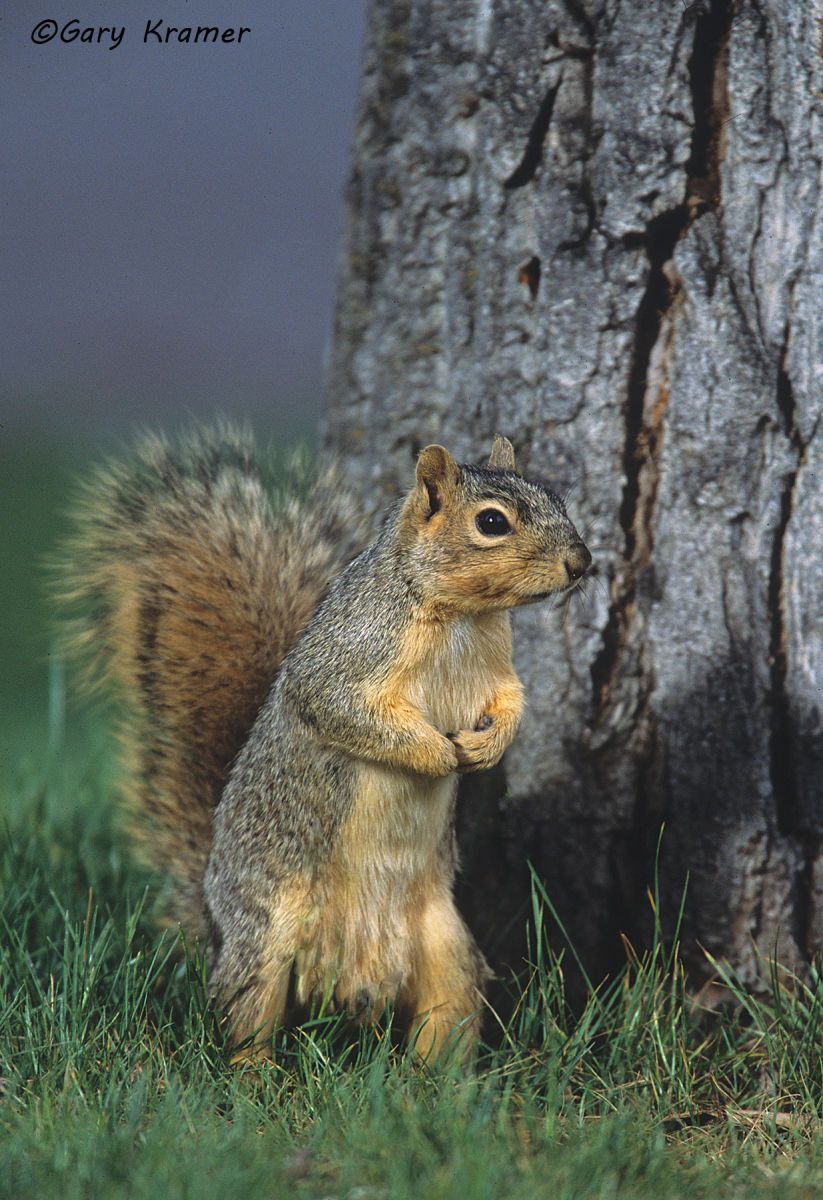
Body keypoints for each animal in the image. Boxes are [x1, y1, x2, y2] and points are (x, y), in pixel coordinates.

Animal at [58, 424, 591, 1061]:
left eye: (558, 499)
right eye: (491, 522)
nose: (582, 562)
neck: (463, 618)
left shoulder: (499, 675)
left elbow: (511, 705)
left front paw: (486, 749)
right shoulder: (343, 663)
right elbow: (349, 713)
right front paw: (437, 754)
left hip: (447, 949)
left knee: (446, 1012)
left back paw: (438, 1079)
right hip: (264, 935)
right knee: (246, 1010)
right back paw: (257, 1071)